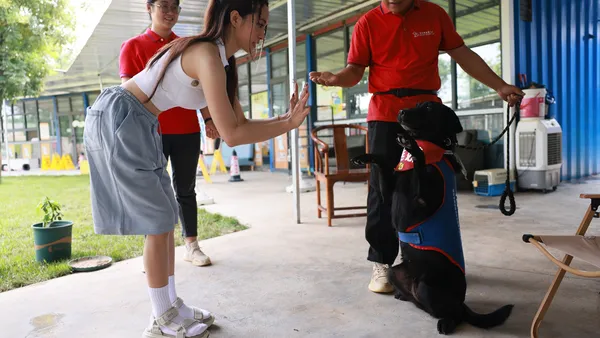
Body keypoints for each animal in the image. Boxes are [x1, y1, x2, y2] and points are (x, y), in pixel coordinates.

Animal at [354, 101, 512, 334]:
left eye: (429, 108)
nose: (400, 112)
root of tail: (461, 302)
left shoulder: (421, 201)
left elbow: (420, 162)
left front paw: (413, 147)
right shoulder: (388, 194)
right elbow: (382, 163)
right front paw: (366, 157)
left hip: (426, 287)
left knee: (452, 314)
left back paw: (446, 322)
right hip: (394, 273)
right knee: (418, 302)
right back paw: (403, 296)